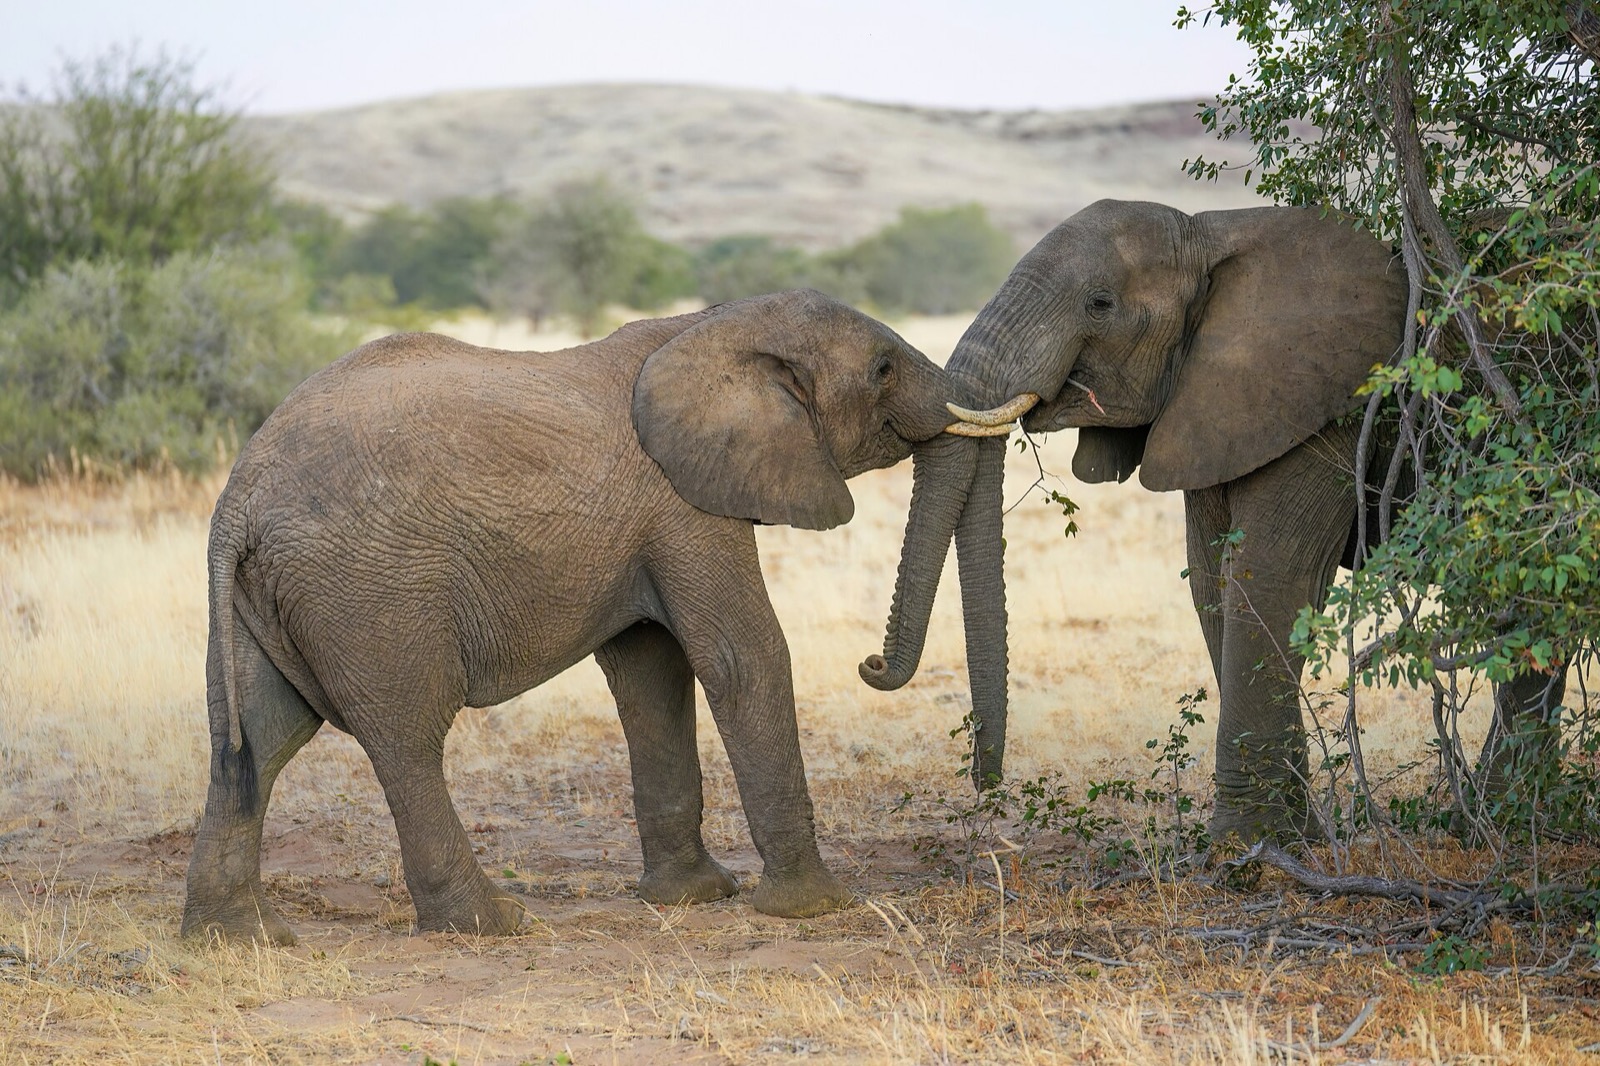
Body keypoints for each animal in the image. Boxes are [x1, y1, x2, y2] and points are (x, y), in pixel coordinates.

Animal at [181, 289, 1010, 945]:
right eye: (883, 369)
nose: (872, 664)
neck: (711, 323)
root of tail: (237, 503)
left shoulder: (655, 521)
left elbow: (651, 673)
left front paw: (691, 899)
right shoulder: (683, 506)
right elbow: (743, 657)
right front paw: (816, 909)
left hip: (268, 598)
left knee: (253, 744)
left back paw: (242, 940)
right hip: (369, 591)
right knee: (405, 738)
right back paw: (491, 924)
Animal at [864, 199, 1567, 842]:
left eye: (1100, 305)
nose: (871, 667)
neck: (1211, 233)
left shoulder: (1323, 398)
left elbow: (1267, 573)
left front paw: (1247, 853)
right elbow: (1213, 578)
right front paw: (1296, 838)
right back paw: (1511, 814)